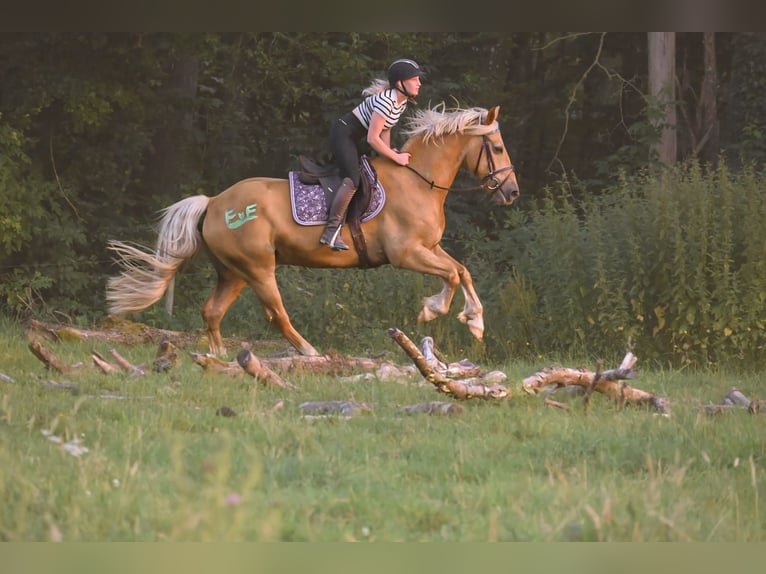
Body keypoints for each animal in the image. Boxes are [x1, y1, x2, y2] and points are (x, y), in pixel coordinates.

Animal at [105, 103, 520, 356]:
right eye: (498, 148)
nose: (513, 192)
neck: (419, 181)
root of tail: (214, 202)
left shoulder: (428, 247)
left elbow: (461, 271)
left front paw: (475, 322)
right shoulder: (407, 254)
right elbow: (451, 275)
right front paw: (433, 312)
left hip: (234, 272)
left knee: (212, 311)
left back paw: (219, 356)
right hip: (258, 268)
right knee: (276, 313)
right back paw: (308, 351)